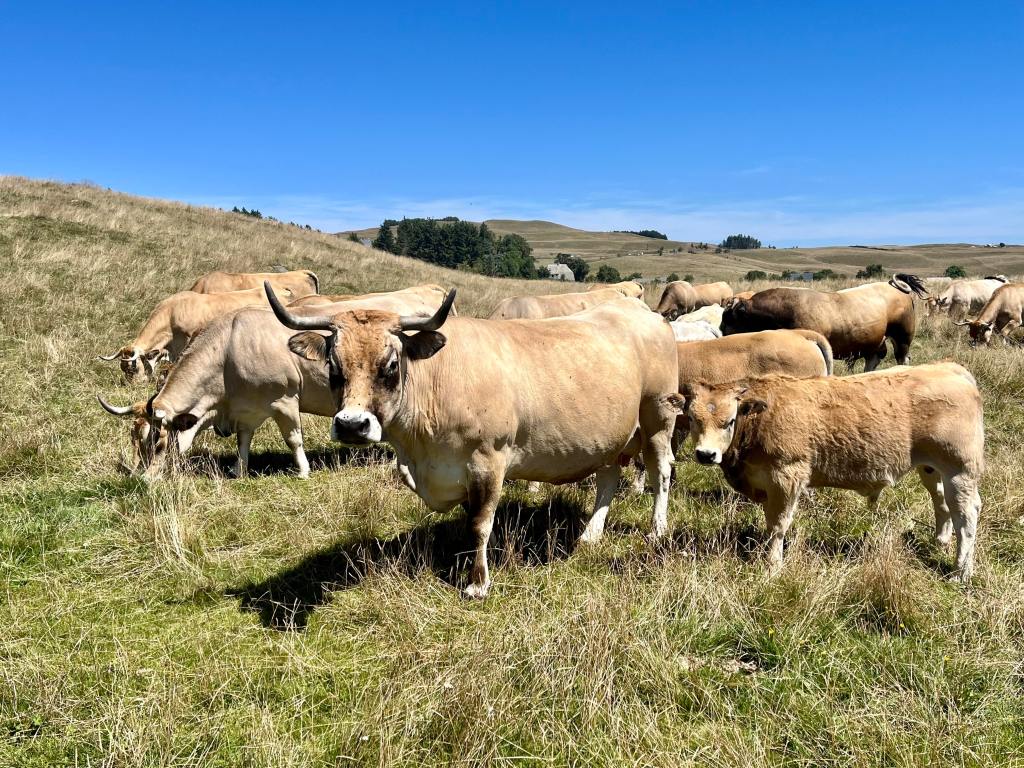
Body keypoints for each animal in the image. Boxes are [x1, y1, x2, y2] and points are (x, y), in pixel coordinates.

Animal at [264, 284, 680, 598]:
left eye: (391, 365)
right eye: (333, 366)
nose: (352, 425)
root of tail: (641, 311)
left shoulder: (488, 460)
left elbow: (481, 523)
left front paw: (477, 583)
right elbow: (469, 522)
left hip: (658, 415)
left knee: (661, 472)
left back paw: (657, 529)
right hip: (611, 433)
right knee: (607, 478)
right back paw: (590, 535)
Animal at [679, 362, 983, 581]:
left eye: (729, 421)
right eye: (693, 419)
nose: (706, 454)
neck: (759, 419)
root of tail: (949, 369)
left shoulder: (786, 478)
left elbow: (778, 526)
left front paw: (773, 565)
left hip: (960, 472)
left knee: (966, 518)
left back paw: (961, 572)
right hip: (932, 468)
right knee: (941, 501)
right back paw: (940, 540)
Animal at [721, 274, 928, 371]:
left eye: (729, 319)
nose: (721, 331)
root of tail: (894, 286)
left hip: (902, 337)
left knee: (902, 357)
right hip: (876, 341)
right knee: (874, 358)